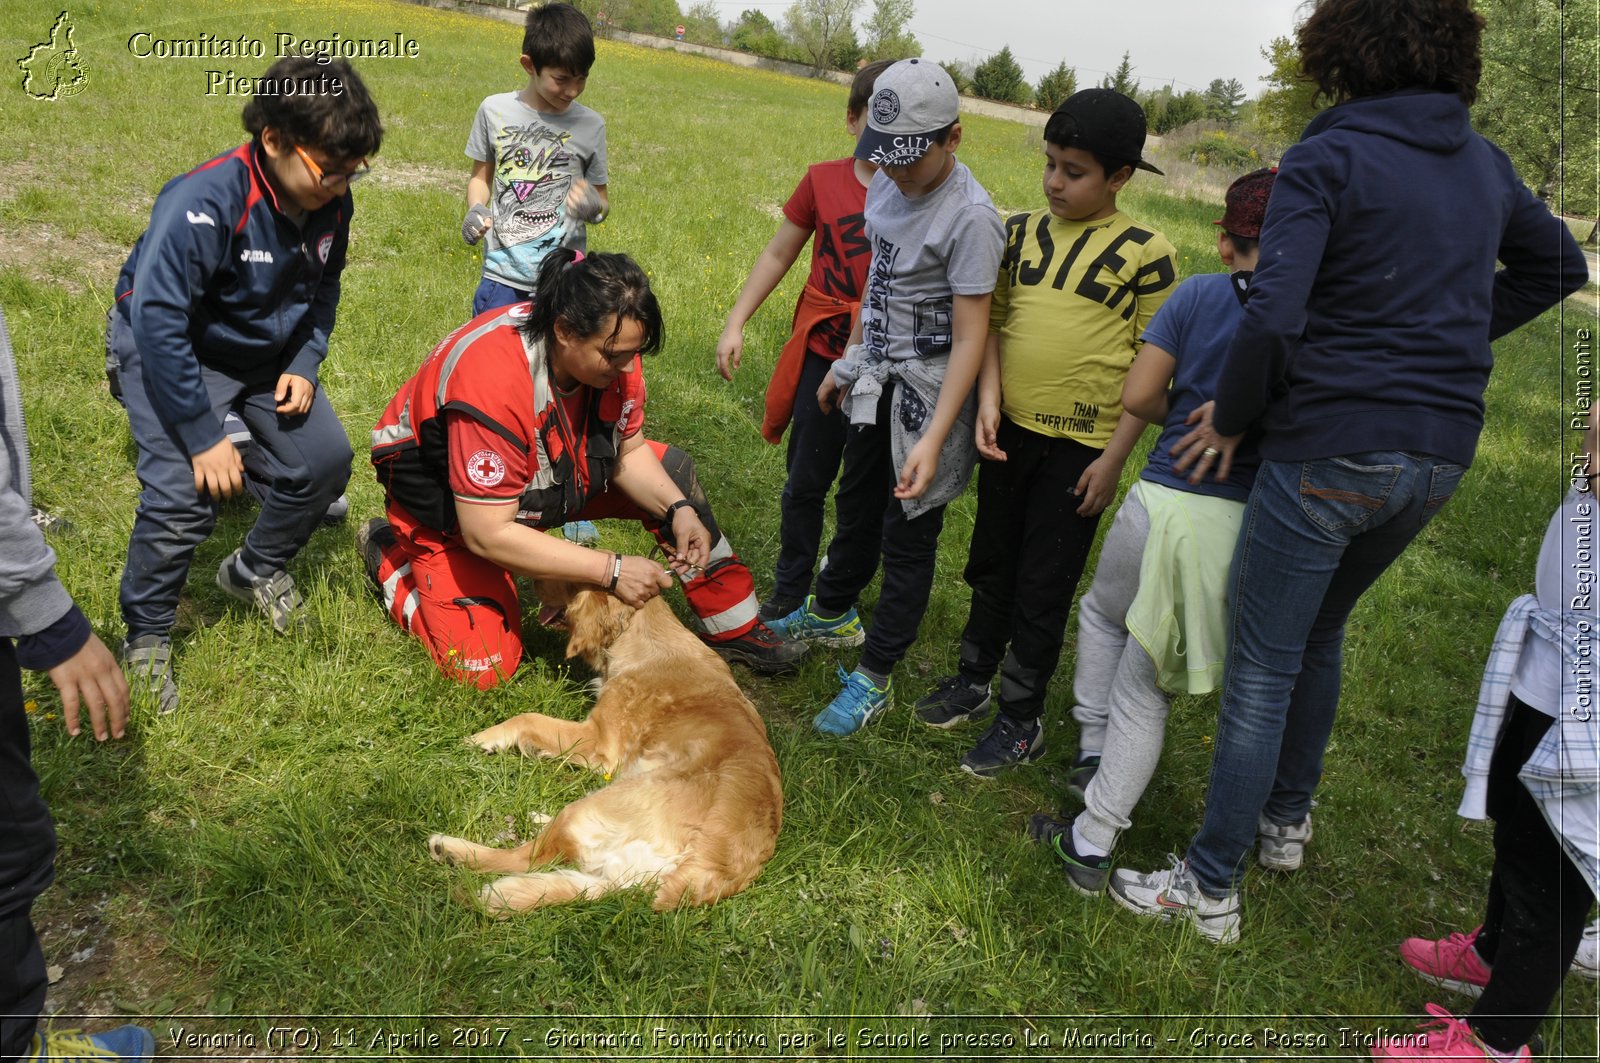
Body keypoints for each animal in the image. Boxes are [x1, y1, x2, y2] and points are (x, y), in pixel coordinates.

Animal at [422, 582, 777, 915]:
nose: (532, 583)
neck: (643, 635)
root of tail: (705, 872)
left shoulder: (598, 740)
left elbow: (529, 717)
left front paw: (483, 738)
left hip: (597, 804)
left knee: (526, 858)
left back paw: (451, 849)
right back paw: (537, 817)